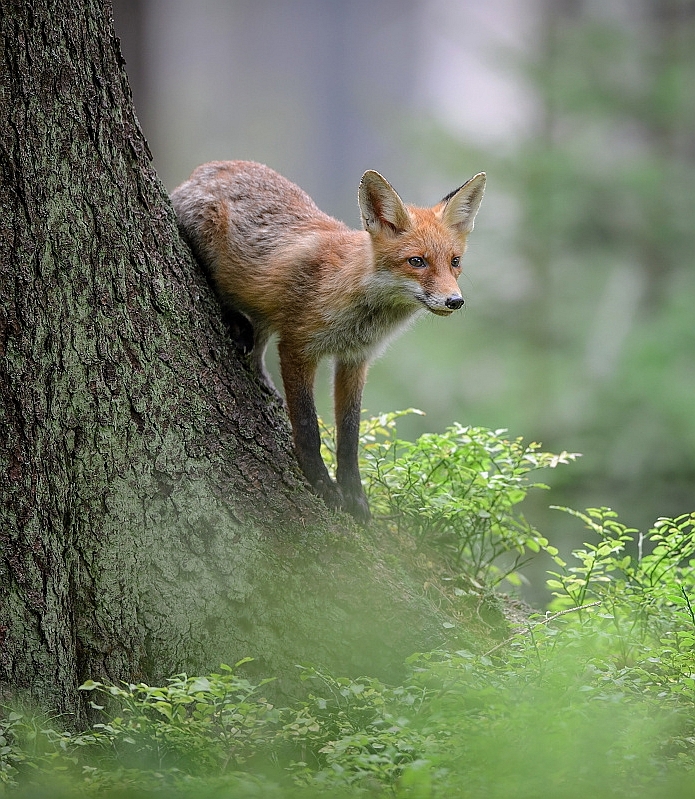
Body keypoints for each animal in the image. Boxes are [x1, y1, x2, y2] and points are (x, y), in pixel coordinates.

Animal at [170, 163, 484, 524]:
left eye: (455, 262)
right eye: (417, 261)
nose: (454, 301)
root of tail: (212, 167)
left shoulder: (355, 359)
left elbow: (349, 436)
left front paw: (355, 495)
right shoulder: (298, 345)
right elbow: (308, 427)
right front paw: (321, 483)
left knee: (257, 351)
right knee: (215, 286)